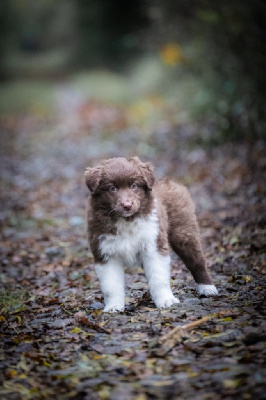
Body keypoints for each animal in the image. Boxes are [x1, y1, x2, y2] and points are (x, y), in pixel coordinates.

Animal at [85, 156, 218, 312]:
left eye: (134, 186)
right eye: (112, 188)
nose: (127, 205)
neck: (127, 220)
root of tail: (168, 181)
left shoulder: (154, 245)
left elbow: (158, 278)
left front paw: (166, 300)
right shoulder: (105, 252)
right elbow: (111, 285)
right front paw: (114, 307)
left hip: (184, 232)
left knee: (196, 261)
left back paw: (207, 288)